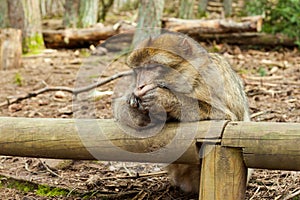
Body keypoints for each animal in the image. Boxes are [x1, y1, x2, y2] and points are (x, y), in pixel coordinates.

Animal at [112, 32, 248, 193]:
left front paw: (164, 98)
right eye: (138, 70)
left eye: (153, 67)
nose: (140, 86)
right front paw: (137, 109)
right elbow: (119, 107)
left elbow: (228, 117)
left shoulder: (211, 77)